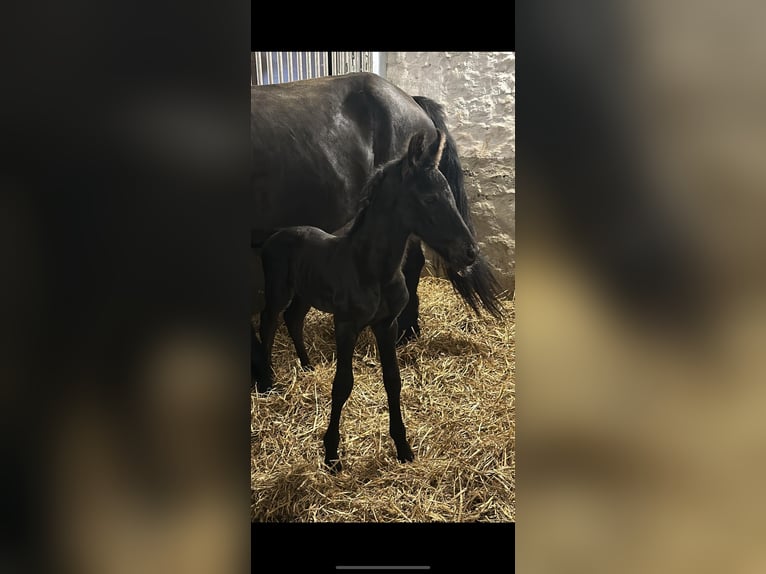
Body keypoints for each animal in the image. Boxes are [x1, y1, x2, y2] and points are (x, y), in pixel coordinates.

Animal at [258, 129, 480, 472]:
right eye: (429, 199)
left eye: (449, 195)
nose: (469, 252)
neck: (373, 268)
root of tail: (275, 236)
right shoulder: (346, 325)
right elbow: (342, 384)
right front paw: (331, 454)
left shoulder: (386, 325)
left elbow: (392, 380)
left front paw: (403, 447)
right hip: (279, 289)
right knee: (268, 322)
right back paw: (269, 381)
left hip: (306, 293)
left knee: (293, 319)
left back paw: (307, 366)